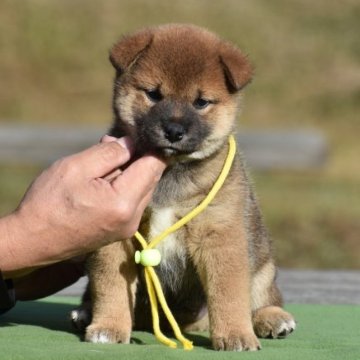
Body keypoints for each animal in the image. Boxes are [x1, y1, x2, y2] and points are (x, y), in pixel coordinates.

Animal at [71, 23, 296, 350]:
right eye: (153, 94)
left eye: (200, 102)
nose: (174, 131)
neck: (171, 170)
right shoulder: (116, 237)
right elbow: (111, 288)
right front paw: (108, 327)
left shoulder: (221, 236)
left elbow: (229, 295)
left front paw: (236, 335)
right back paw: (85, 312)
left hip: (262, 263)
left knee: (261, 296)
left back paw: (272, 318)